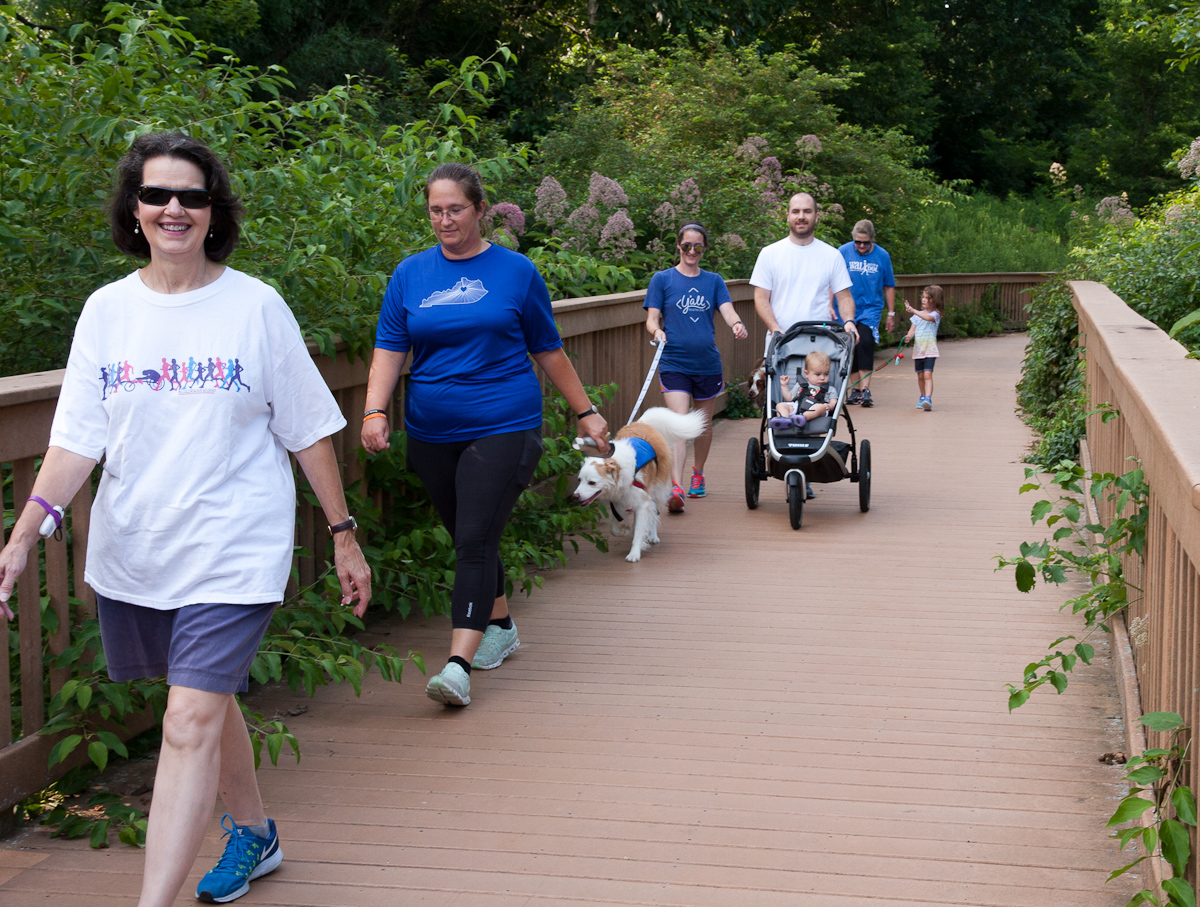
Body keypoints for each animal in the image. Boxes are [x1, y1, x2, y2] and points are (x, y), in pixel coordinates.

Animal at [568, 410, 700, 563]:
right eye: (579, 480)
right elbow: (616, 526)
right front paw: (624, 528)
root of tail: (641, 423)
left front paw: (634, 553)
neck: (620, 469)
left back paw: (652, 536)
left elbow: (639, 530)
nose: (575, 496)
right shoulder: (618, 500)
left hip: (655, 490)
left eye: (592, 482)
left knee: (654, 512)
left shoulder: (642, 502)